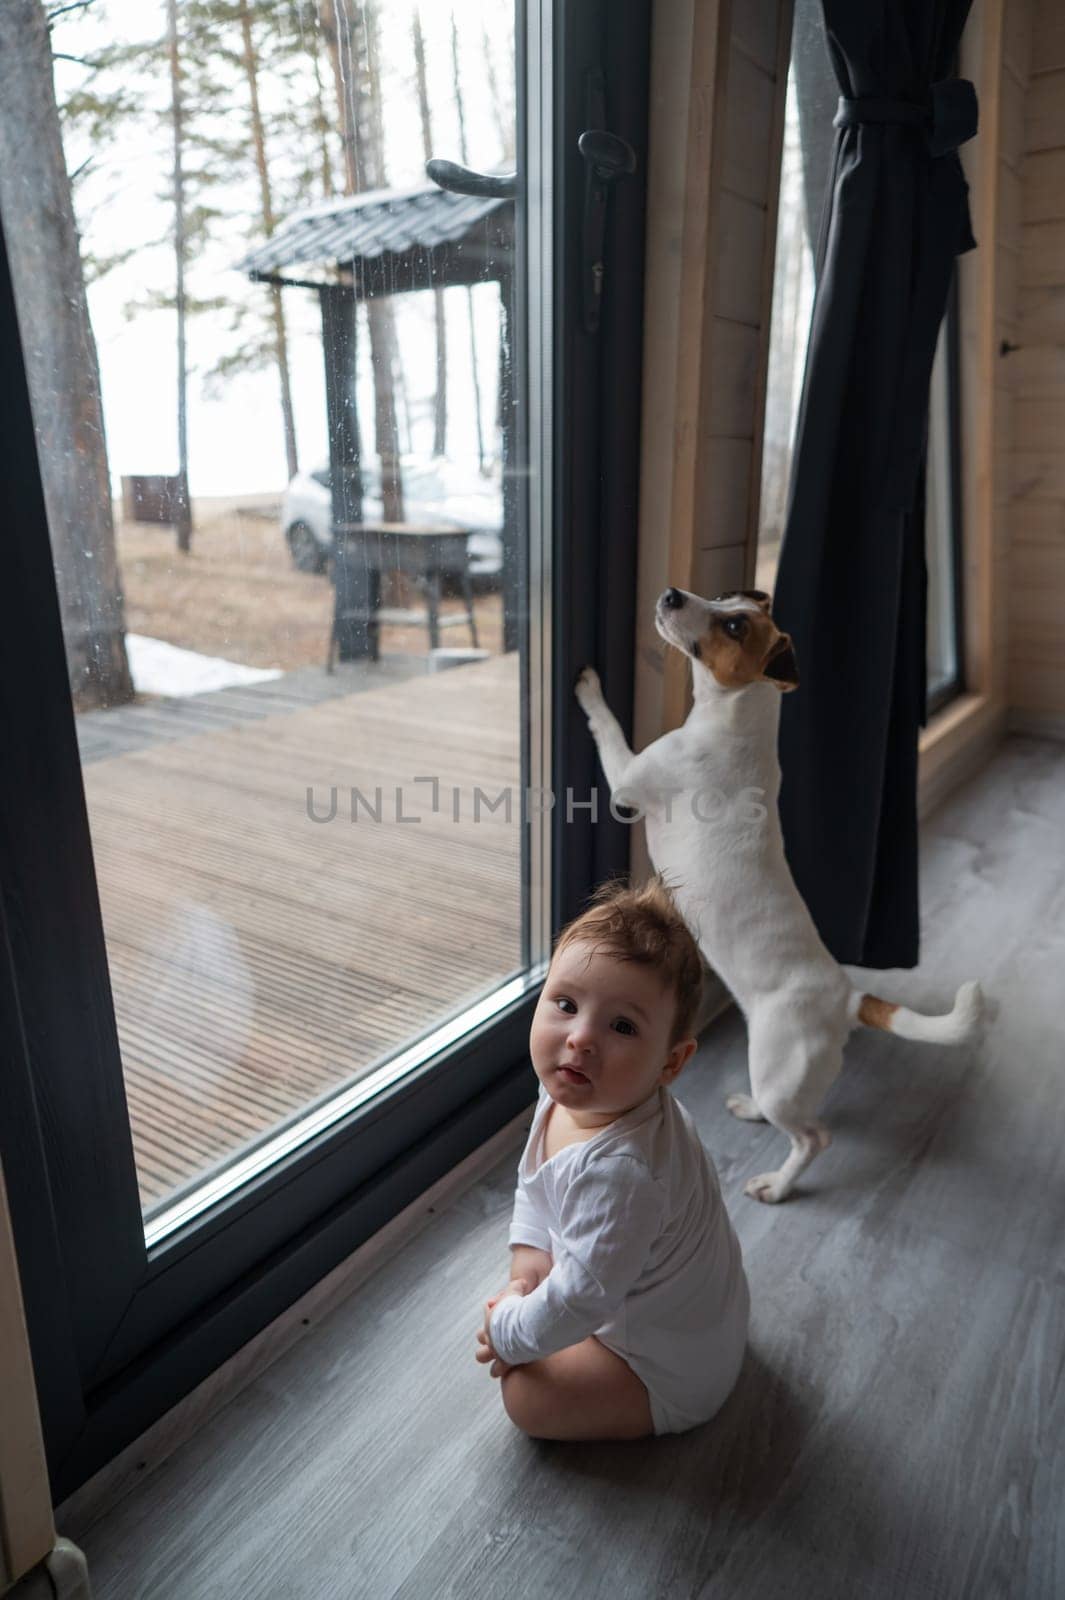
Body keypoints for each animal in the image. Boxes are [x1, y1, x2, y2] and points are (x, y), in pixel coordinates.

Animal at [572, 585, 978, 1203]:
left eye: (735, 626)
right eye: (724, 600)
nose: (671, 594)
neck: (737, 717)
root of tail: (845, 998)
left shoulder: (628, 782)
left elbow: (608, 727)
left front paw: (590, 689)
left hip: (778, 1068)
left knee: (813, 1138)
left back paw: (778, 1186)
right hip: (778, 1075)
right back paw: (752, 1112)